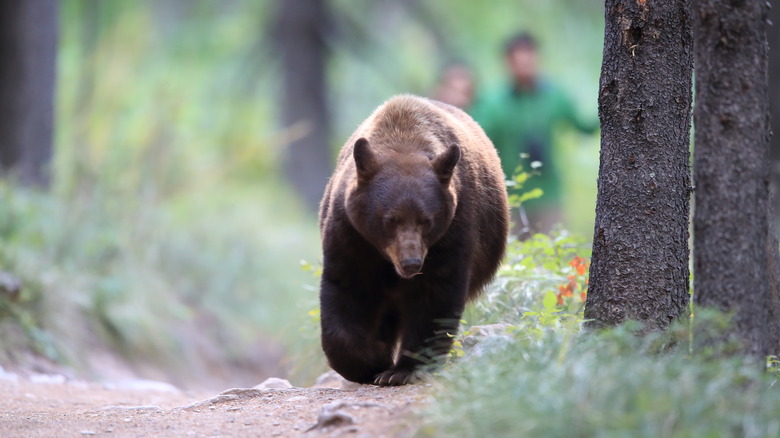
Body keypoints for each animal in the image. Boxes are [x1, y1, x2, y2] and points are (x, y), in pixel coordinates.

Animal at [318, 94, 512, 384]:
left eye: (426, 220)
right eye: (390, 220)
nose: (411, 263)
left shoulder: (454, 228)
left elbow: (435, 296)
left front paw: (402, 370)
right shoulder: (351, 233)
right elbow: (345, 288)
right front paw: (370, 360)